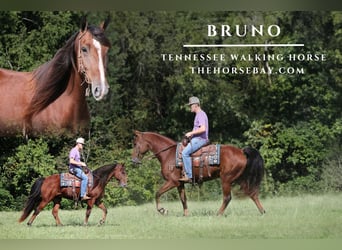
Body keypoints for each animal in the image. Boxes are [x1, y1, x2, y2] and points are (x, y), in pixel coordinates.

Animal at [132, 131, 266, 217]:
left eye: (135, 144)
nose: (133, 160)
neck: (168, 154)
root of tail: (242, 151)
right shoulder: (180, 184)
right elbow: (183, 199)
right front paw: (186, 214)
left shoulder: (172, 182)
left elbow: (157, 193)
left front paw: (162, 210)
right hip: (239, 179)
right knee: (252, 194)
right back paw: (263, 212)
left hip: (226, 179)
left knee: (227, 198)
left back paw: (218, 214)